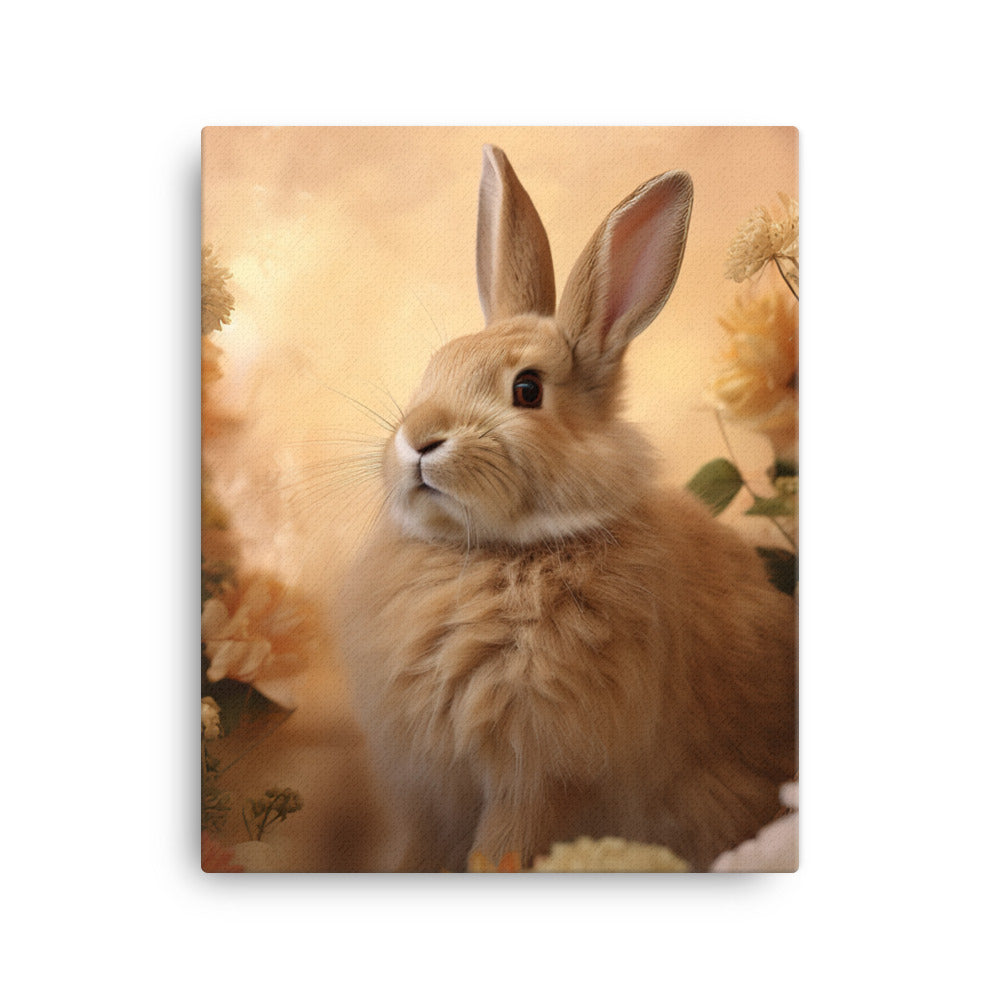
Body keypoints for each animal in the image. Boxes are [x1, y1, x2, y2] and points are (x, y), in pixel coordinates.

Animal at [337, 145, 797, 872]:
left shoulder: (537, 773)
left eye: (527, 390)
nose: (419, 439)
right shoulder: (431, 794)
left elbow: (500, 852)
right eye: (433, 369)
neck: (495, 552)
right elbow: (413, 852)